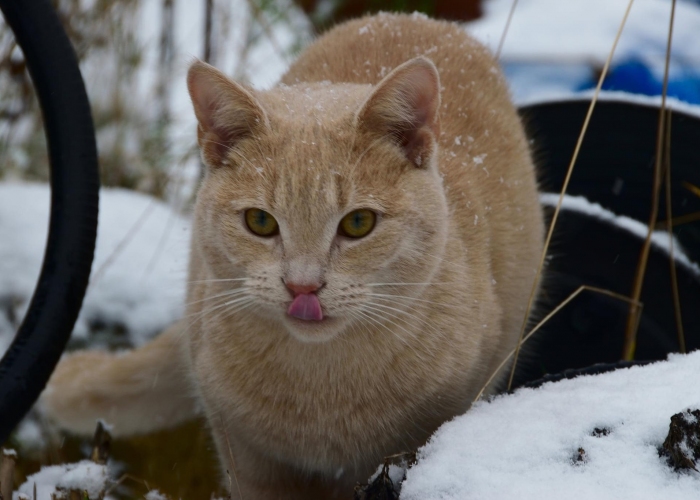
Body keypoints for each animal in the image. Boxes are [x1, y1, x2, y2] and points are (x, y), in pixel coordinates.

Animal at [42, 11, 548, 500]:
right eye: (260, 222)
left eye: (358, 223)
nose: (303, 286)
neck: (321, 394)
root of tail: (410, 17)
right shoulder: (245, 456)